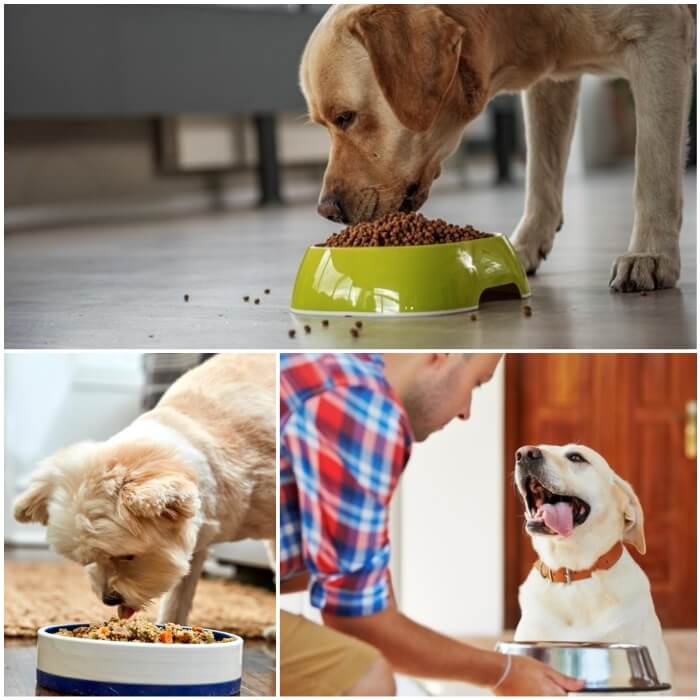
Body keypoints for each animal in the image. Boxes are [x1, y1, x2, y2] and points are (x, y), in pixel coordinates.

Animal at [300, 5, 696, 292]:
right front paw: (523, 247)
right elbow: (541, 175)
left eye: (345, 117)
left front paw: (650, 254)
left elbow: (653, 172)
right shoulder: (553, 79)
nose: (326, 210)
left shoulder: (658, 37)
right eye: (322, 124)